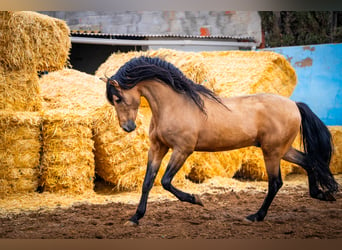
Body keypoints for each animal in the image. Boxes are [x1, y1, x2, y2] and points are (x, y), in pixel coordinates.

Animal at [101, 56, 336, 227]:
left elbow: (166, 181)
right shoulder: (158, 148)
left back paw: (255, 216)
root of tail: (294, 104)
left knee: (276, 182)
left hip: (272, 151)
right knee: (309, 162)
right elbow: (148, 182)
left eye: (118, 98)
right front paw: (134, 218)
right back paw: (321, 195)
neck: (174, 105)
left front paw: (196, 199)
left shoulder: (182, 150)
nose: (128, 127)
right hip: (282, 150)